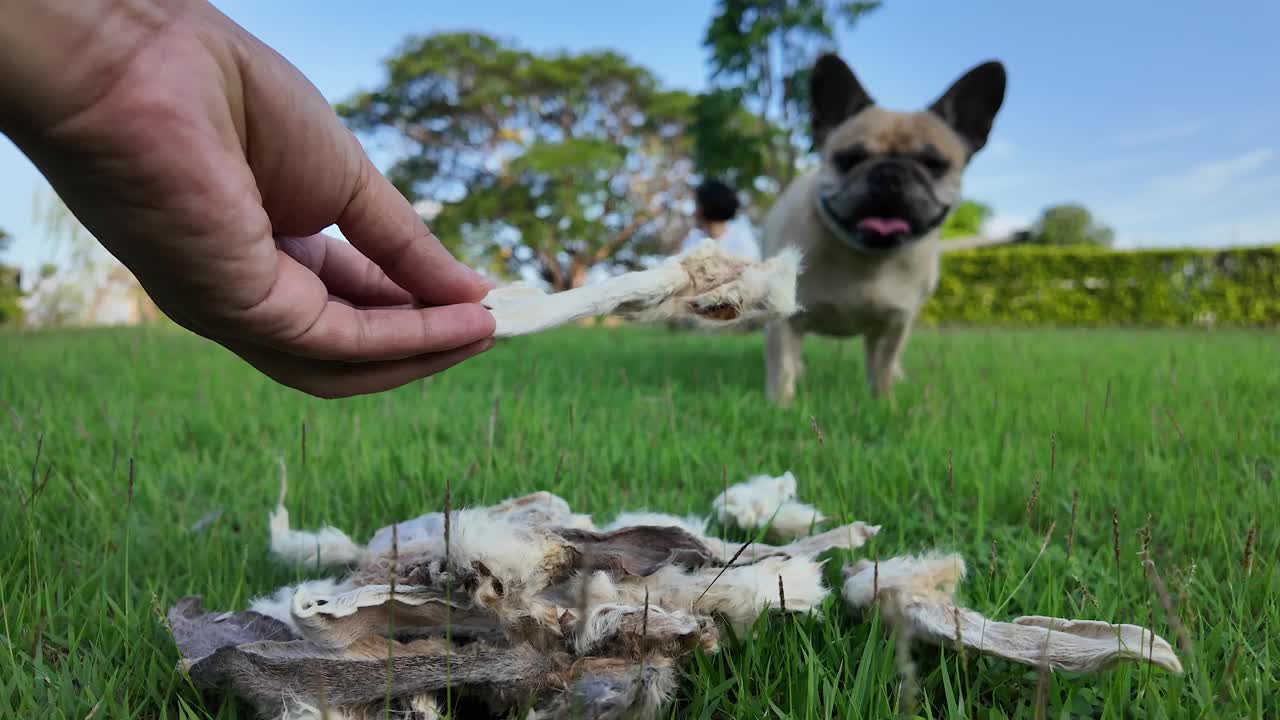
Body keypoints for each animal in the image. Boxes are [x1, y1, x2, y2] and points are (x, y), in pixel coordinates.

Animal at [762, 51, 1003, 404]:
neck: (866, 258)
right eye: (849, 159)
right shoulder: (785, 319)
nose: (890, 174)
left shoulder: (894, 325)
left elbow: (883, 369)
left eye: (934, 165)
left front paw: (884, 404)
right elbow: (782, 368)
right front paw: (781, 406)